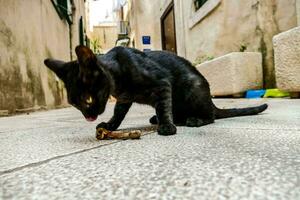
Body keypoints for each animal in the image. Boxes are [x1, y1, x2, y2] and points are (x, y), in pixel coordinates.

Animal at [44, 45, 268, 136]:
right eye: (75, 104)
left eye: (88, 99)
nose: (87, 117)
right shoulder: (124, 99)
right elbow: (118, 114)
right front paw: (110, 125)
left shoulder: (162, 84)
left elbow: (163, 107)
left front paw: (167, 126)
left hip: (192, 87)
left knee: (211, 116)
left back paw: (193, 119)